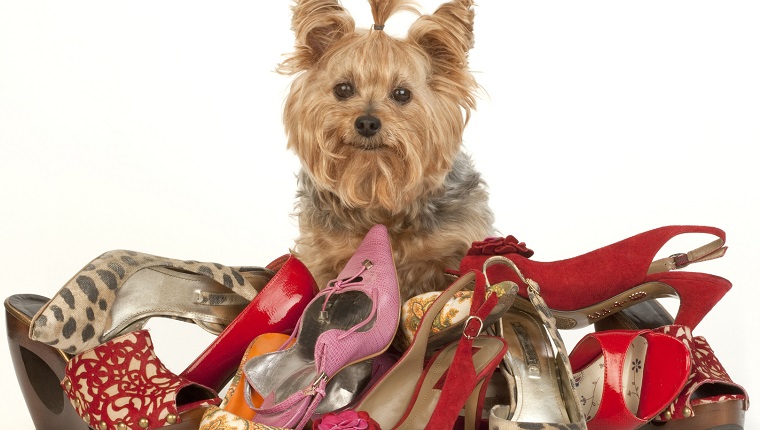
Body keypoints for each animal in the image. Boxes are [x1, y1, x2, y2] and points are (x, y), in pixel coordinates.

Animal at [280, 0, 492, 298]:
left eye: (402, 94)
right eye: (343, 88)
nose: (367, 123)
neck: (378, 186)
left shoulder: (459, 246)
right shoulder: (321, 256)